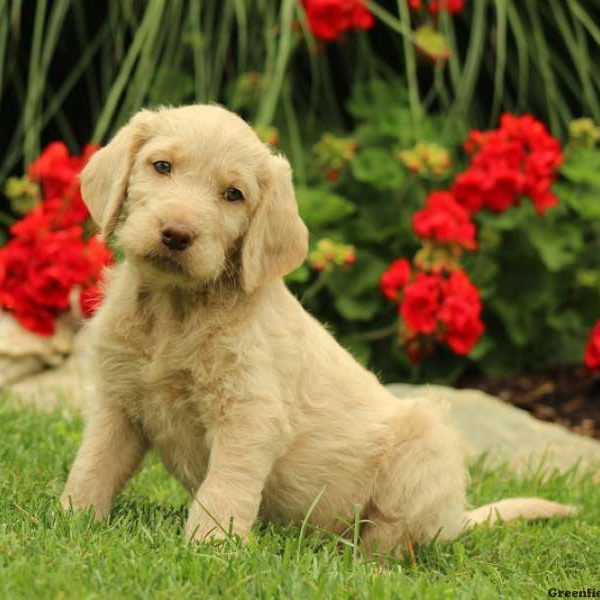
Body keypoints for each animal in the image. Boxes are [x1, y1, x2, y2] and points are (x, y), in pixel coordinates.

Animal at [62, 104, 576, 556]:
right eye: (162, 166)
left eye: (233, 195)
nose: (176, 234)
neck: (176, 309)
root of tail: (455, 519)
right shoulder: (119, 402)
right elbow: (95, 463)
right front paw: (73, 519)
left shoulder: (249, 416)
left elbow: (225, 487)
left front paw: (209, 547)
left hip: (426, 446)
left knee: (394, 540)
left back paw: (358, 560)